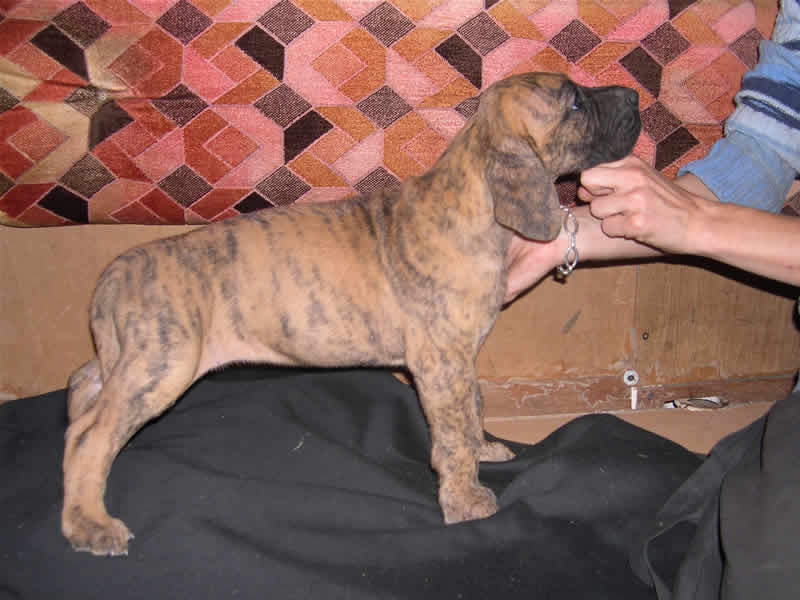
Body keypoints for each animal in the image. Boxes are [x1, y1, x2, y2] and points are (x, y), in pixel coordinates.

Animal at [61, 72, 636, 556]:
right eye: (575, 101)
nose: (633, 97)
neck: (471, 200)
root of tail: (115, 274)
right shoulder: (440, 360)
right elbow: (451, 435)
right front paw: (465, 500)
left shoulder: (458, 359)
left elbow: (471, 408)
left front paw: (484, 449)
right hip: (163, 363)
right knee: (92, 436)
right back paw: (91, 524)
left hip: (132, 359)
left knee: (82, 401)